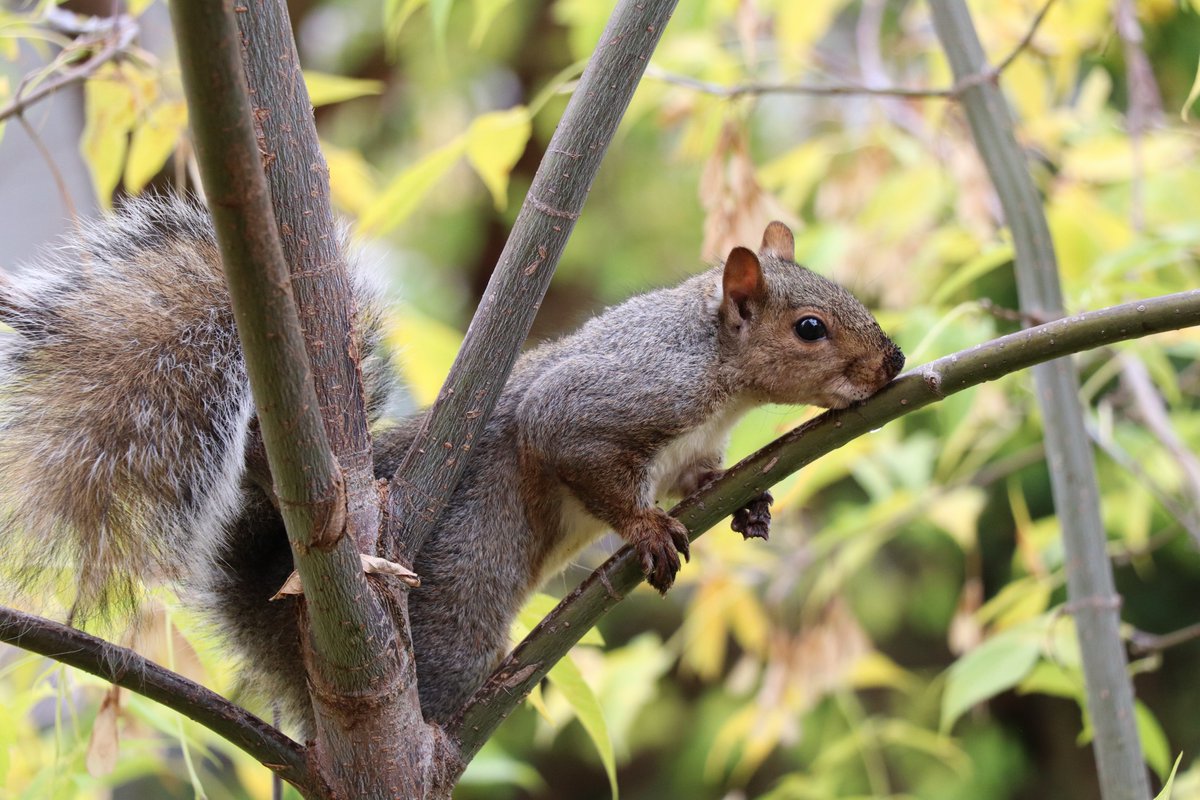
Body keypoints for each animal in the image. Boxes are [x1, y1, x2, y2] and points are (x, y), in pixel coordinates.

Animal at [0, 195, 904, 732]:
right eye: (811, 328)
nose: (893, 361)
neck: (717, 367)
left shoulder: (693, 443)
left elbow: (699, 478)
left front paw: (744, 503)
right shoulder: (622, 393)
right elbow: (569, 442)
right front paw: (645, 529)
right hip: (468, 583)